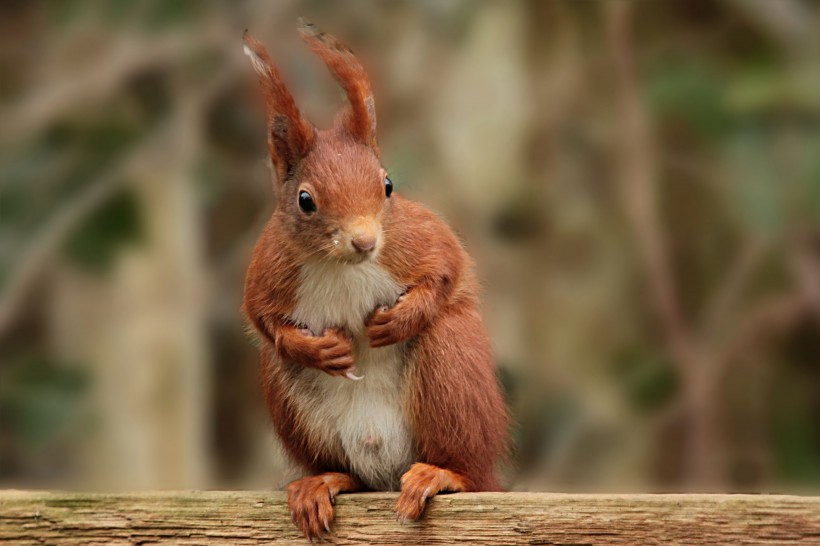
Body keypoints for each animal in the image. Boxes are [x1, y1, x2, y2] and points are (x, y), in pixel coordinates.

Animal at [239, 19, 506, 536]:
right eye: (305, 200)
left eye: (388, 185)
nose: (364, 242)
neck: (344, 265)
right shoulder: (268, 269)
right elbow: (264, 321)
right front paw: (320, 349)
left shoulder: (418, 238)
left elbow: (447, 270)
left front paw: (398, 320)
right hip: (292, 402)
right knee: (348, 472)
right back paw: (322, 482)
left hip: (450, 368)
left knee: (466, 467)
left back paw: (443, 474)